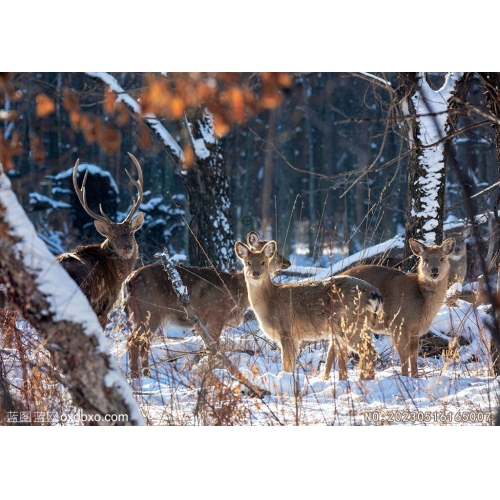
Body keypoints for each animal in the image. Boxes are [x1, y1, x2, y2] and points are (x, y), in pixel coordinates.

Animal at [122, 232, 292, 376]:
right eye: (274, 254)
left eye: (266, 258)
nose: (288, 262)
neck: (237, 291)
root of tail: (128, 280)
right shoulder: (216, 315)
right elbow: (213, 348)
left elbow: (206, 348)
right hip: (148, 310)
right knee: (133, 341)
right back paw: (136, 378)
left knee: (143, 343)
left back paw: (146, 375)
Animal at [234, 240, 382, 380]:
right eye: (248, 263)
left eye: (263, 262)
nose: (255, 273)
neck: (271, 302)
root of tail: (374, 293)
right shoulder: (295, 338)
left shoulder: (287, 331)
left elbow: (286, 366)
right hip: (359, 327)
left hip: (351, 324)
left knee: (370, 352)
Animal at [344, 236, 458, 376]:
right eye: (425, 259)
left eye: (442, 258)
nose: (434, 271)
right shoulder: (399, 325)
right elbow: (404, 355)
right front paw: (405, 376)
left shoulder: (415, 331)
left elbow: (414, 355)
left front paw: (415, 377)